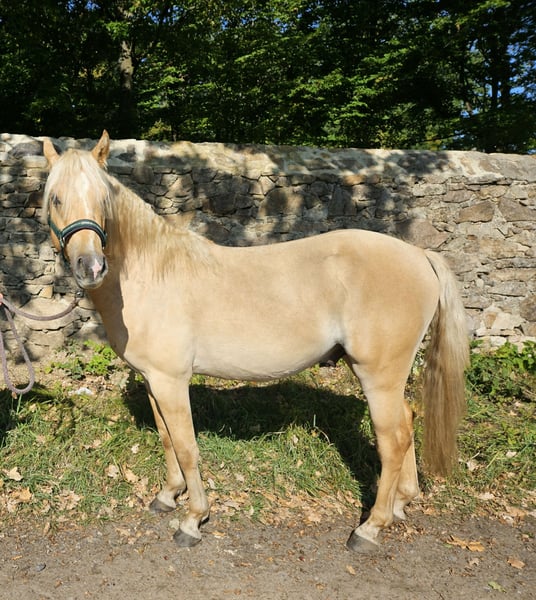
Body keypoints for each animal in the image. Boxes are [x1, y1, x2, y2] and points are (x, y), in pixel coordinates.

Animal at [42, 131, 469, 552]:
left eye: (103, 199)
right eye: (56, 198)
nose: (91, 267)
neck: (151, 274)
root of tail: (419, 254)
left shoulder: (172, 381)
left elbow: (187, 447)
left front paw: (193, 519)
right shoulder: (153, 381)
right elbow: (167, 440)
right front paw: (167, 496)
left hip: (378, 376)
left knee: (392, 441)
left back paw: (370, 528)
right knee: (407, 423)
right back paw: (400, 503)